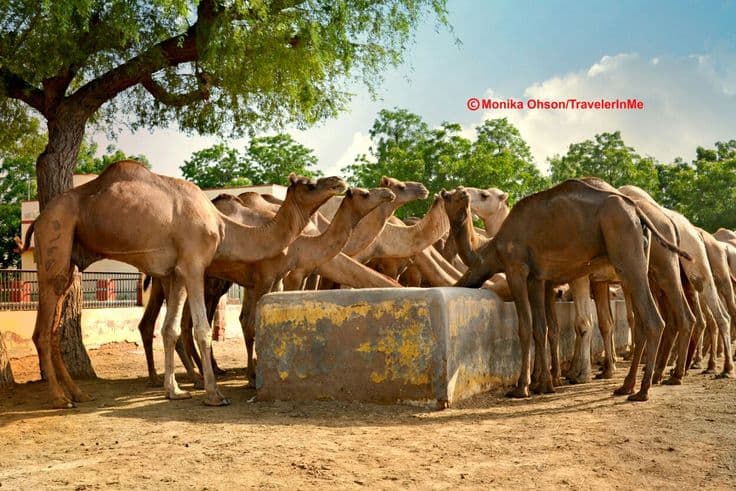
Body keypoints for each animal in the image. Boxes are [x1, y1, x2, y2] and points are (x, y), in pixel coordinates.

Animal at [27, 161, 346, 408]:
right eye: (308, 185)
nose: (339, 182)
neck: (224, 227)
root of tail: (38, 219)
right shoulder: (194, 264)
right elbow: (201, 329)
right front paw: (214, 394)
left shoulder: (176, 271)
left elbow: (170, 329)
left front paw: (175, 390)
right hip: (55, 232)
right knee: (42, 326)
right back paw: (59, 399)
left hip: (71, 257)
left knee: (54, 323)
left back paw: (79, 394)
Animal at [456, 179, 691, 401]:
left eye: (484, 195)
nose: (457, 191)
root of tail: (640, 214)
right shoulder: (539, 278)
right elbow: (544, 328)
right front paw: (546, 383)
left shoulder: (518, 268)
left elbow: (529, 326)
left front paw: (524, 387)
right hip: (639, 265)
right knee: (652, 319)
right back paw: (629, 385)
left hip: (632, 254)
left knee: (658, 319)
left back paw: (647, 388)